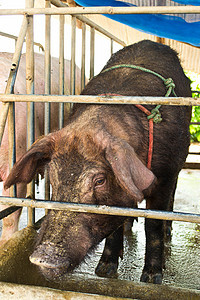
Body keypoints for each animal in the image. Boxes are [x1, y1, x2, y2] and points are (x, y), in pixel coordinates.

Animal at [4, 39, 191, 284]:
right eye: (53, 178)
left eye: (100, 180)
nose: (43, 257)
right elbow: (115, 218)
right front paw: (104, 270)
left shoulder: (165, 176)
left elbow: (153, 225)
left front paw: (151, 279)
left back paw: (168, 231)